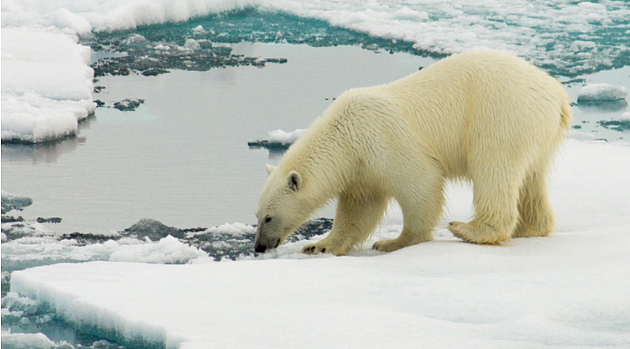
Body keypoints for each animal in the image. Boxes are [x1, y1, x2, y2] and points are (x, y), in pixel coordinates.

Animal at [253, 50, 572, 254]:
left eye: (268, 217)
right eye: (256, 215)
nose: (259, 246)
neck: (344, 136)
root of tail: (558, 95)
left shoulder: (383, 140)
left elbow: (421, 182)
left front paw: (393, 242)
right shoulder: (361, 168)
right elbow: (359, 208)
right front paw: (319, 245)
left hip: (501, 114)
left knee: (494, 168)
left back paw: (469, 229)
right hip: (537, 133)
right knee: (530, 178)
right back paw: (530, 227)